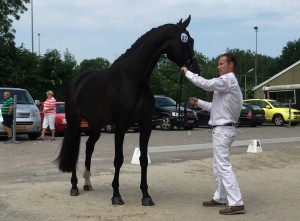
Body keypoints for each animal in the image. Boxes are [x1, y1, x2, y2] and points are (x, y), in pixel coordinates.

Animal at [54, 15, 199, 205]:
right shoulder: (121, 125)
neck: (133, 79)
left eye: (192, 40)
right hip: (74, 122)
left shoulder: (145, 125)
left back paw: (87, 183)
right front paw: (116, 195)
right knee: (74, 150)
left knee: (88, 147)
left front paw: (146, 195)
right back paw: (74, 186)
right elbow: (118, 159)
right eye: (186, 41)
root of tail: (76, 81)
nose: (196, 68)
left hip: (95, 125)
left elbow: (143, 159)